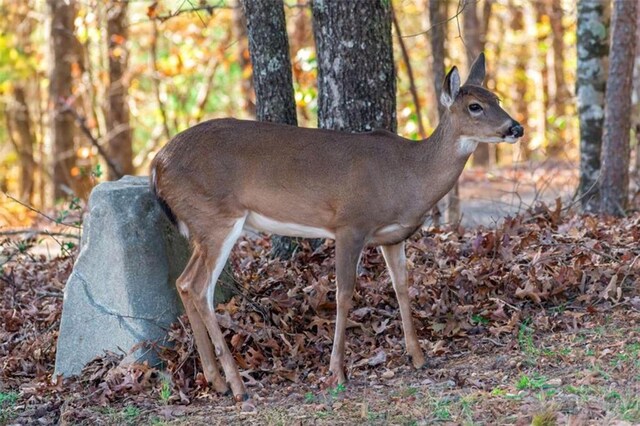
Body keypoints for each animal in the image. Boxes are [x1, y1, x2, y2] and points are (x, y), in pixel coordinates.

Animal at [150, 53, 524, 402]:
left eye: (496, 98)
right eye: (475, 106)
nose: (516, 128)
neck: (409, 176)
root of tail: (157, 164)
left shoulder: (393, 236)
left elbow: (402, 286)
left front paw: (417, 357)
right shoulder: (350, 224)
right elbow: (344, 293)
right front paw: (337, 371)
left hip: (203, 225)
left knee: (184, 283)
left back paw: (216, 381)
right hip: (218, 216)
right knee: (199, 287)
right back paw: (238, 386)